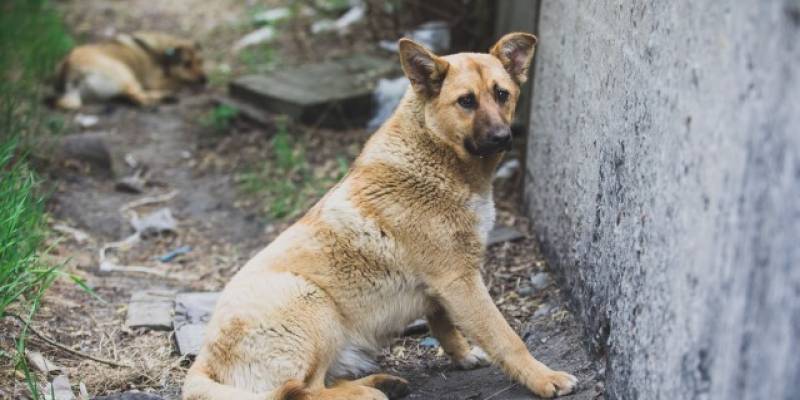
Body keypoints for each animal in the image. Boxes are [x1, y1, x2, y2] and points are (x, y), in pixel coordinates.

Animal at [52, 31, 205, 109]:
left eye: (200, 61)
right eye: (186, 64)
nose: (204, 80)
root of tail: (70, 68)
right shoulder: (155, 81)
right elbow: (179, 80)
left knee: (132, 97)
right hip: (124, 72)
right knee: (139, 98)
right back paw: (165, 98)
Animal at [184, 32, 580, 400]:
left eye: (502, 94)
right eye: (466, 101)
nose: (502, 137)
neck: (435, 153)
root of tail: (202, 364)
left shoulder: (445, 287)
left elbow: (444, 325)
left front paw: (463, 355)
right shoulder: (460, 281)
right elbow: (505, 336)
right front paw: (544, 378)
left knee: (315, 384)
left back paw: (382, 382)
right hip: (316, 304)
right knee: (301, 390)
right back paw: (368, 392)